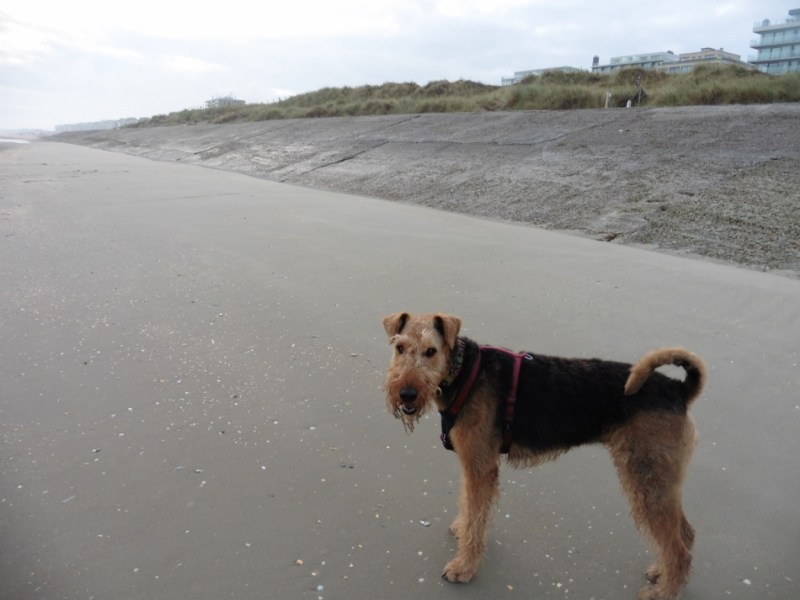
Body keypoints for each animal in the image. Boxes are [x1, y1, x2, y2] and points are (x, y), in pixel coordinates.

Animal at [382, 312, 706, 600]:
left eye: (431, 351)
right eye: (399, 348)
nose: (406, 394)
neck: (464, 372)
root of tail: (679, 389)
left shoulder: (480, 466)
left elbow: (477, 517)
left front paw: (463, 568)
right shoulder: (472, 463)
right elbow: (469, 508)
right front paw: (461, 531)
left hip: (646, 476)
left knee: (678, 548)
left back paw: (663, 592)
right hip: (660, 478)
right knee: (685, 534)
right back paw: (661, 572)